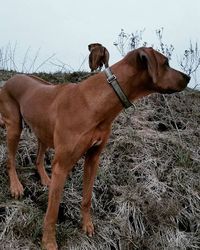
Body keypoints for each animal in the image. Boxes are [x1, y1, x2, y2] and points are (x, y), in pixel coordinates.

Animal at [0, 47, 191, 250]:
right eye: (166, 63)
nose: (188, 77)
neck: (97, 102)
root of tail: (10, 79)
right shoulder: (62, 166)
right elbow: (52, 211)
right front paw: (49, 242)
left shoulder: (93, 158)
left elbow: (87, 198)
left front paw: (87, 225)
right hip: (14, 127)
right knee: (10, 160)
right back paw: (16, 186)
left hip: (42, 130)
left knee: (38, 157)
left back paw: (45, 178)